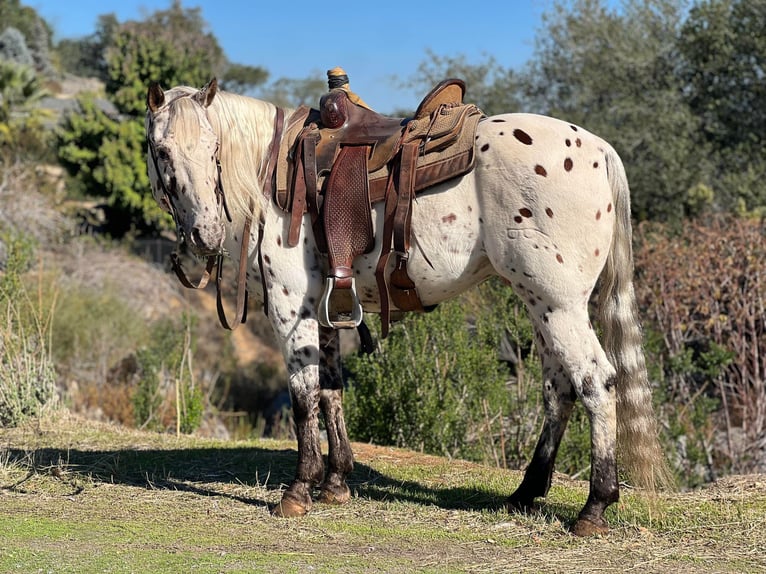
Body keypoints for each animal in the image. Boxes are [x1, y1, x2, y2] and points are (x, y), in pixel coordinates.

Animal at [146, 79, 672, 536]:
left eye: (212, 147)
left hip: (559, 305)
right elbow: (332, 389)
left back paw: (594, 506)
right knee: (558, 387)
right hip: (539, 303)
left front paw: (298, 490)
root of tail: (599, 150)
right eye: (162, 150)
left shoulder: (289, 305)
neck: (266, 171)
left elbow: (303, 396)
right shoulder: (324, 307)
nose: (206, 235)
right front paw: (336, 482)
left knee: (596, 382)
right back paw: (526, 492)